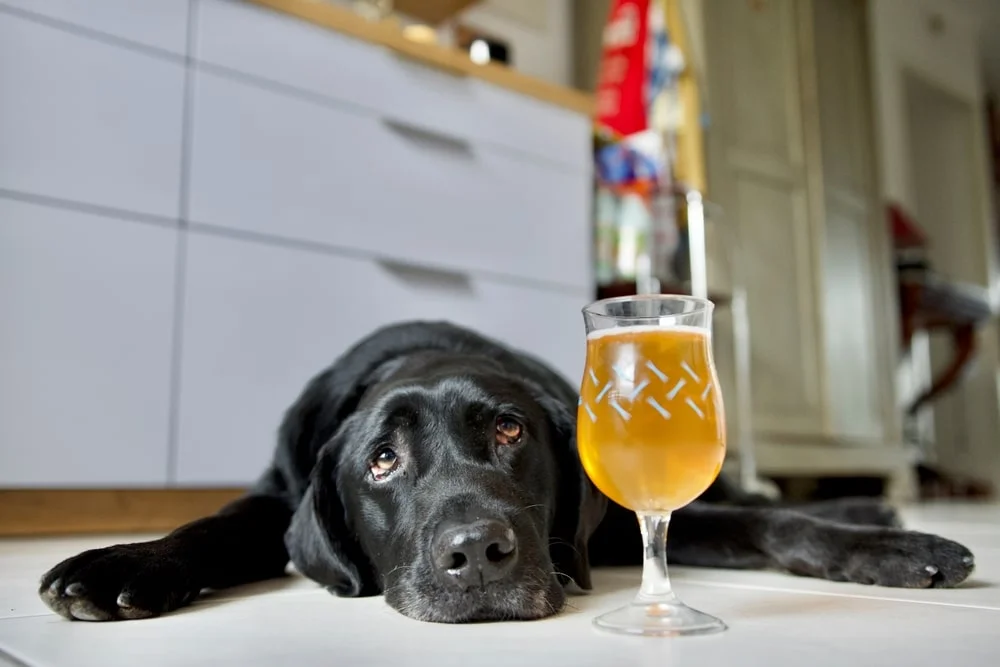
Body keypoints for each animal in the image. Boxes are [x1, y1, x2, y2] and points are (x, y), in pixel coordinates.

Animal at [41, 320, 976, 624]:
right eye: (382, 460)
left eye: (509, 428)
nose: (477, 555)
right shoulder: (275, 490)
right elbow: (214, 523)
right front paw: (119, 564)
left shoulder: (624, 514)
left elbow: (768, 520)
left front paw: (899, 551)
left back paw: (876, 510)